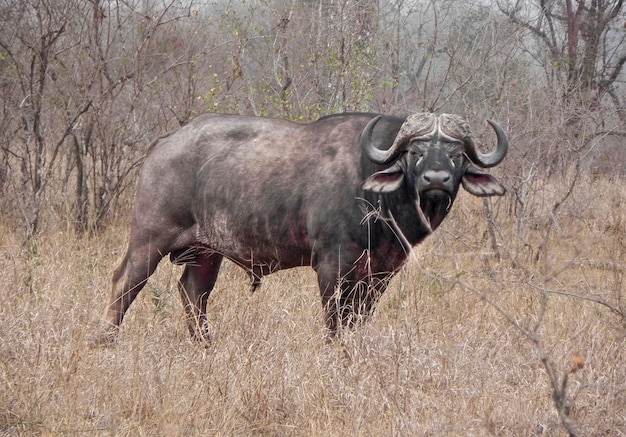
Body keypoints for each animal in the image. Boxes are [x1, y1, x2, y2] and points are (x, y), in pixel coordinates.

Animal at [98, 110, 508, 342]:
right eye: (416, 151)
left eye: (455, 154)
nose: (436, 179)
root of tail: (164, 144)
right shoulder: (332, 265)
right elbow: (335, 321)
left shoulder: (380, 273)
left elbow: (358, 320)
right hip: (149, 239)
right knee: (124, 283)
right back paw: (106, 340)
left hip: (206, 253)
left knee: (193, 293)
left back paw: (205, 346)